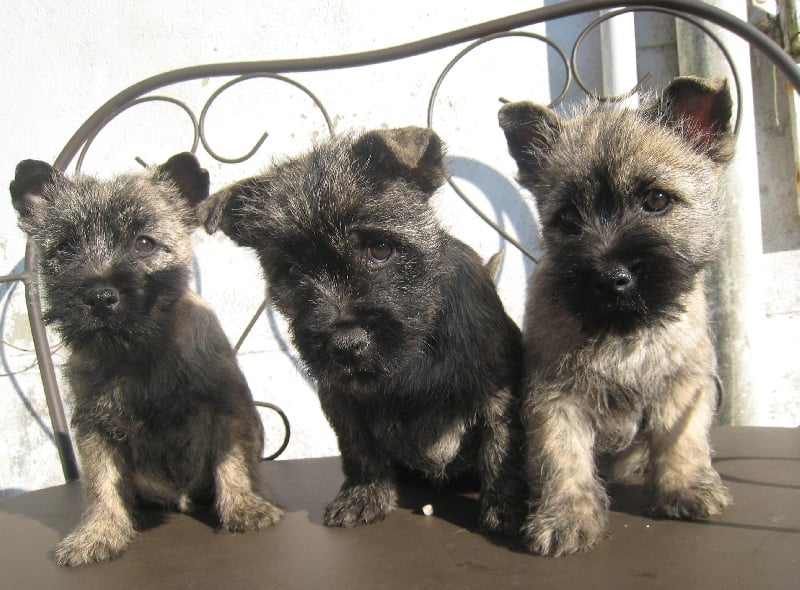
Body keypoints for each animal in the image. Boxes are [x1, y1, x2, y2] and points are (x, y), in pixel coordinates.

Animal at [10, 154, 282, 568]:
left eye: (143, 243)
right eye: (65, 247)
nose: (99, 296)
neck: (137, 352)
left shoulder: (225, 407)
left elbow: (232, 461)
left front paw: (245, 506)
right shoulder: (95, 428)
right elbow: (100, 484)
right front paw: (98, 533)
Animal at [202, 127, 524, 536]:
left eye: (381, 248)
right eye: (291, 271)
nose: (345, 344)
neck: (415, 356)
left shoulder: (498, 394)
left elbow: (501, 449)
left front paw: (507, 509)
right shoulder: (341, 398)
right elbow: (359, 449)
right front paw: (364, 495)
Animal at [500, 77, 736, 556]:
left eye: (657, 200)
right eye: (568, 218)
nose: (611, 278)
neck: (624, 331)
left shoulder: (683, 385)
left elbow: (682, 438)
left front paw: (684, 488)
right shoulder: (555, 397)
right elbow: (562, 455)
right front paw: (565, 517)